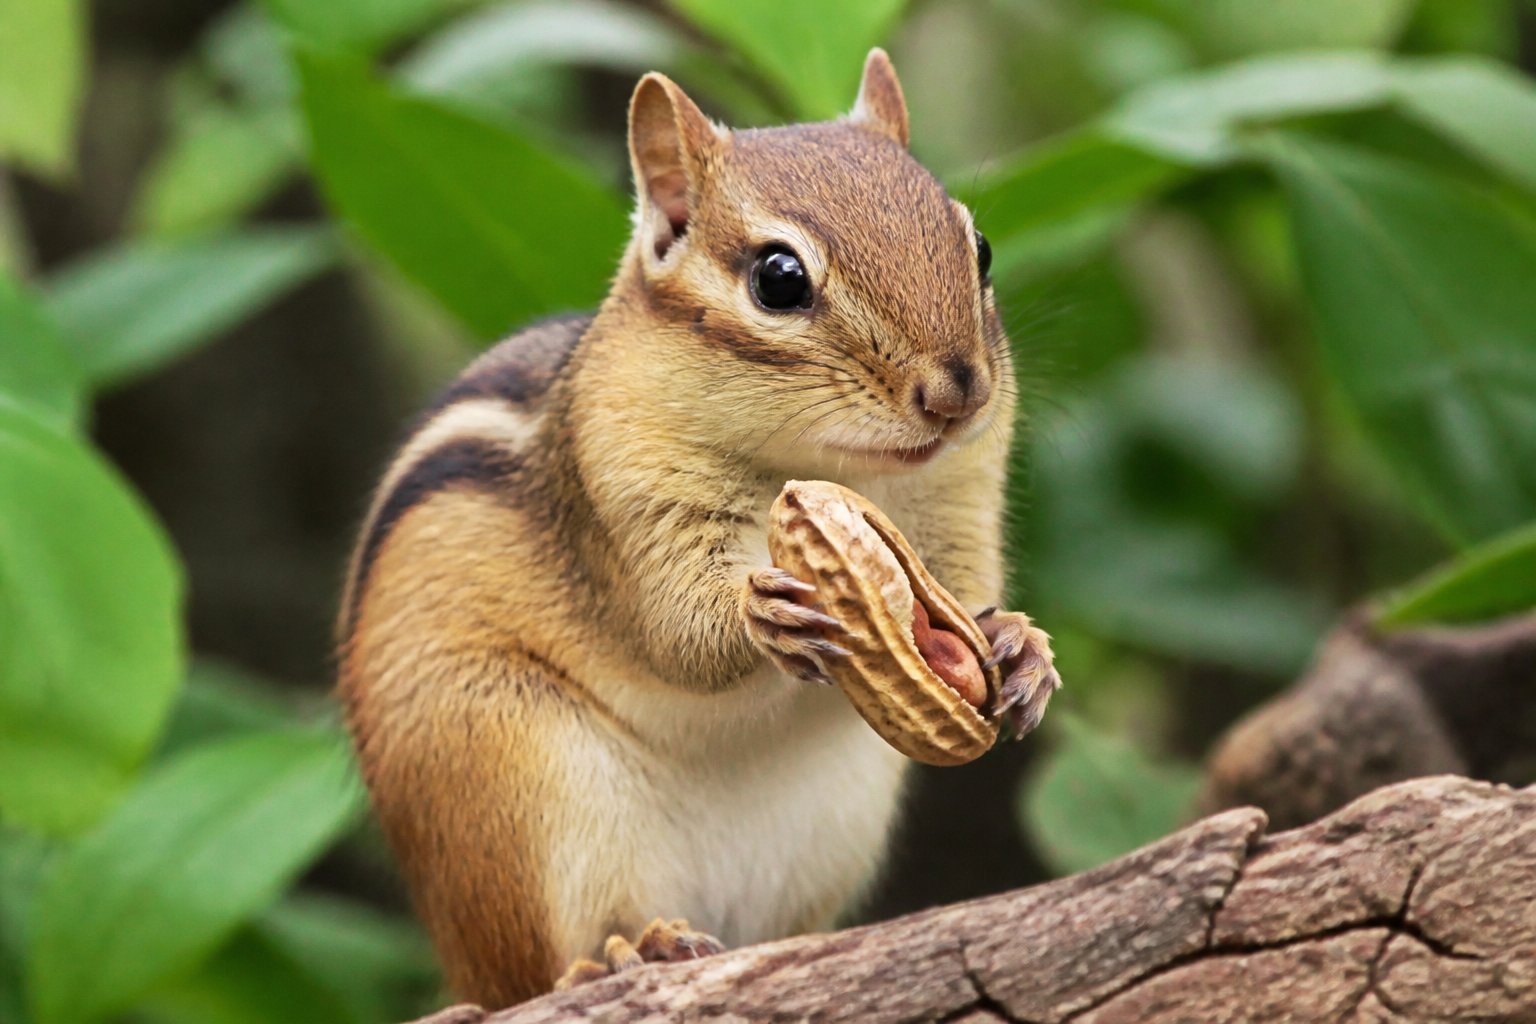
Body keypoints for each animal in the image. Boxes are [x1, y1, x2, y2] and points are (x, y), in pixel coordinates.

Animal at [338, 49, 1059, 1009]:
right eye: (779, 279)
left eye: (977, 247)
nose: (959, 391)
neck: (839, 471)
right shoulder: (622, 492)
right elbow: (678, 637)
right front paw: (764, 615)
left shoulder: (958, 503)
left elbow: (965, 594)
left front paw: (1019, 648)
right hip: (504, 781)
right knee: (539, 971)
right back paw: (625, 953)